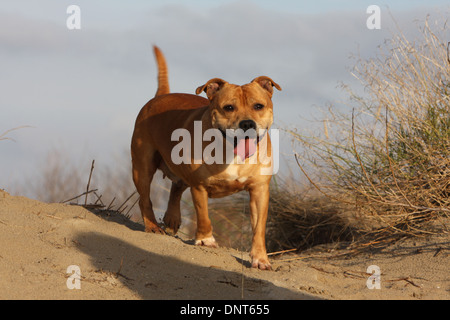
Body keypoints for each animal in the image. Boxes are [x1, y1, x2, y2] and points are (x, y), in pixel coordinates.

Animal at [129, 45, 282, 270]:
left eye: (258, 106)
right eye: (229, 107)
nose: (247, 123)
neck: (230, 151)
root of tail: (161, 96)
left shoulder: (259, 190)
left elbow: (258, 229)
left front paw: (260, 259)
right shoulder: (199, 186)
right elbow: (204, 216)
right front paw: (205, 240)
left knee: (176, 187)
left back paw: (172, 218)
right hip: (142, 167)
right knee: (145, 198)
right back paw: (152, 226)